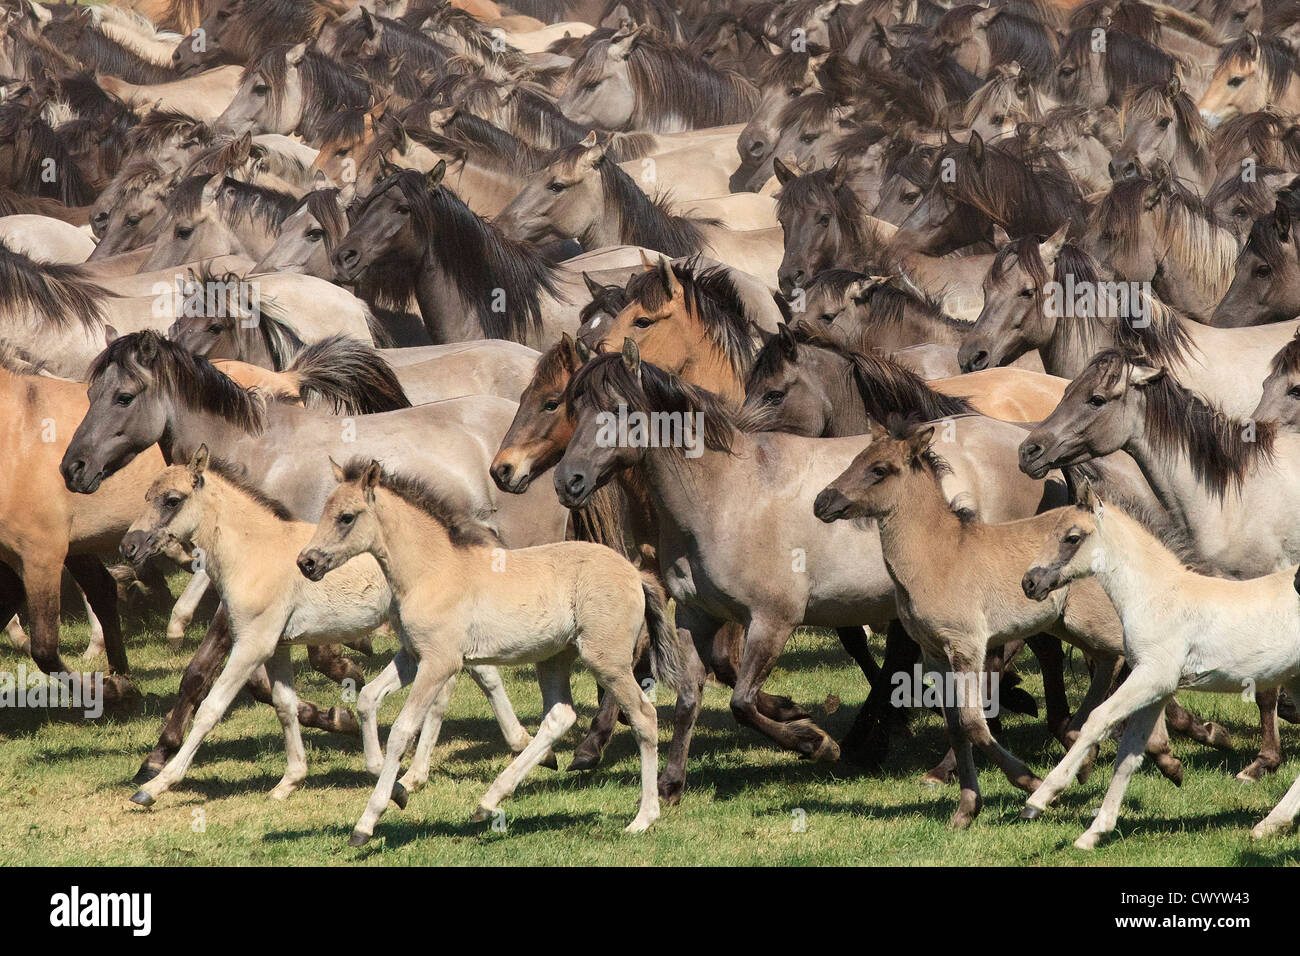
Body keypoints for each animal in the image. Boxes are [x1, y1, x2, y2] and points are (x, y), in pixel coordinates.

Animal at [299, 460, 686, 842]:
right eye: (325, 510)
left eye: (346, 517)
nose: (307, 562)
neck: (431, 572)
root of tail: (636, 574)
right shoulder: (412, 656)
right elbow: (367, 699)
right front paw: (397, 788)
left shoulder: (440, 662)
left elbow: (402, 730)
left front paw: (367, 822)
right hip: (553, 658)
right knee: (560, 716)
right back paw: (488, 802)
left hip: (606, 661)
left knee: (643, 716)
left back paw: (644, 817)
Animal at [1019, 489, 1300, 848]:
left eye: (1072, 537)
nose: (1029, 582)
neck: (1157, 596)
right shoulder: (1157, 690)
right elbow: (1130, 753)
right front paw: (1094, 832)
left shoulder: (1153, 676)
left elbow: (1097, 720)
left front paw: (1040, 797)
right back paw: (1269, 824)